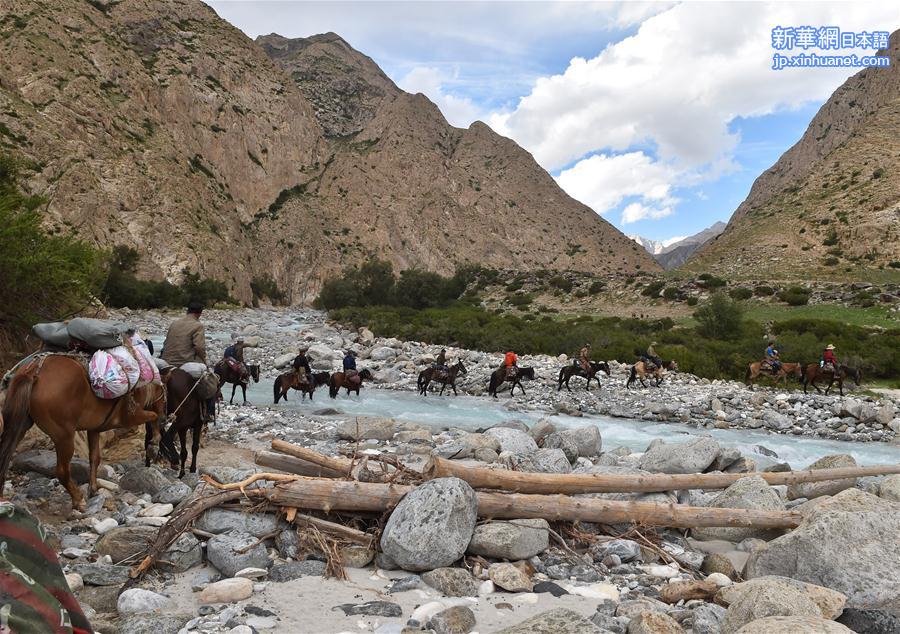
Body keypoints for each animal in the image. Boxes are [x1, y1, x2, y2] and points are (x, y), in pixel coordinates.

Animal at [0, 356, 167, 508]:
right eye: (165, 392)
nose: (166, 418)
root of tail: (35, 370)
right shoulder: (131, 417)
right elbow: (153, 416)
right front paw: (154, 444)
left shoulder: (94, 429)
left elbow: (94, 458)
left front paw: (93, 489)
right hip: (64, 436)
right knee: (62, 471)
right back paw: (77, 499)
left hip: (19, 425)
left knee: (5, 456)